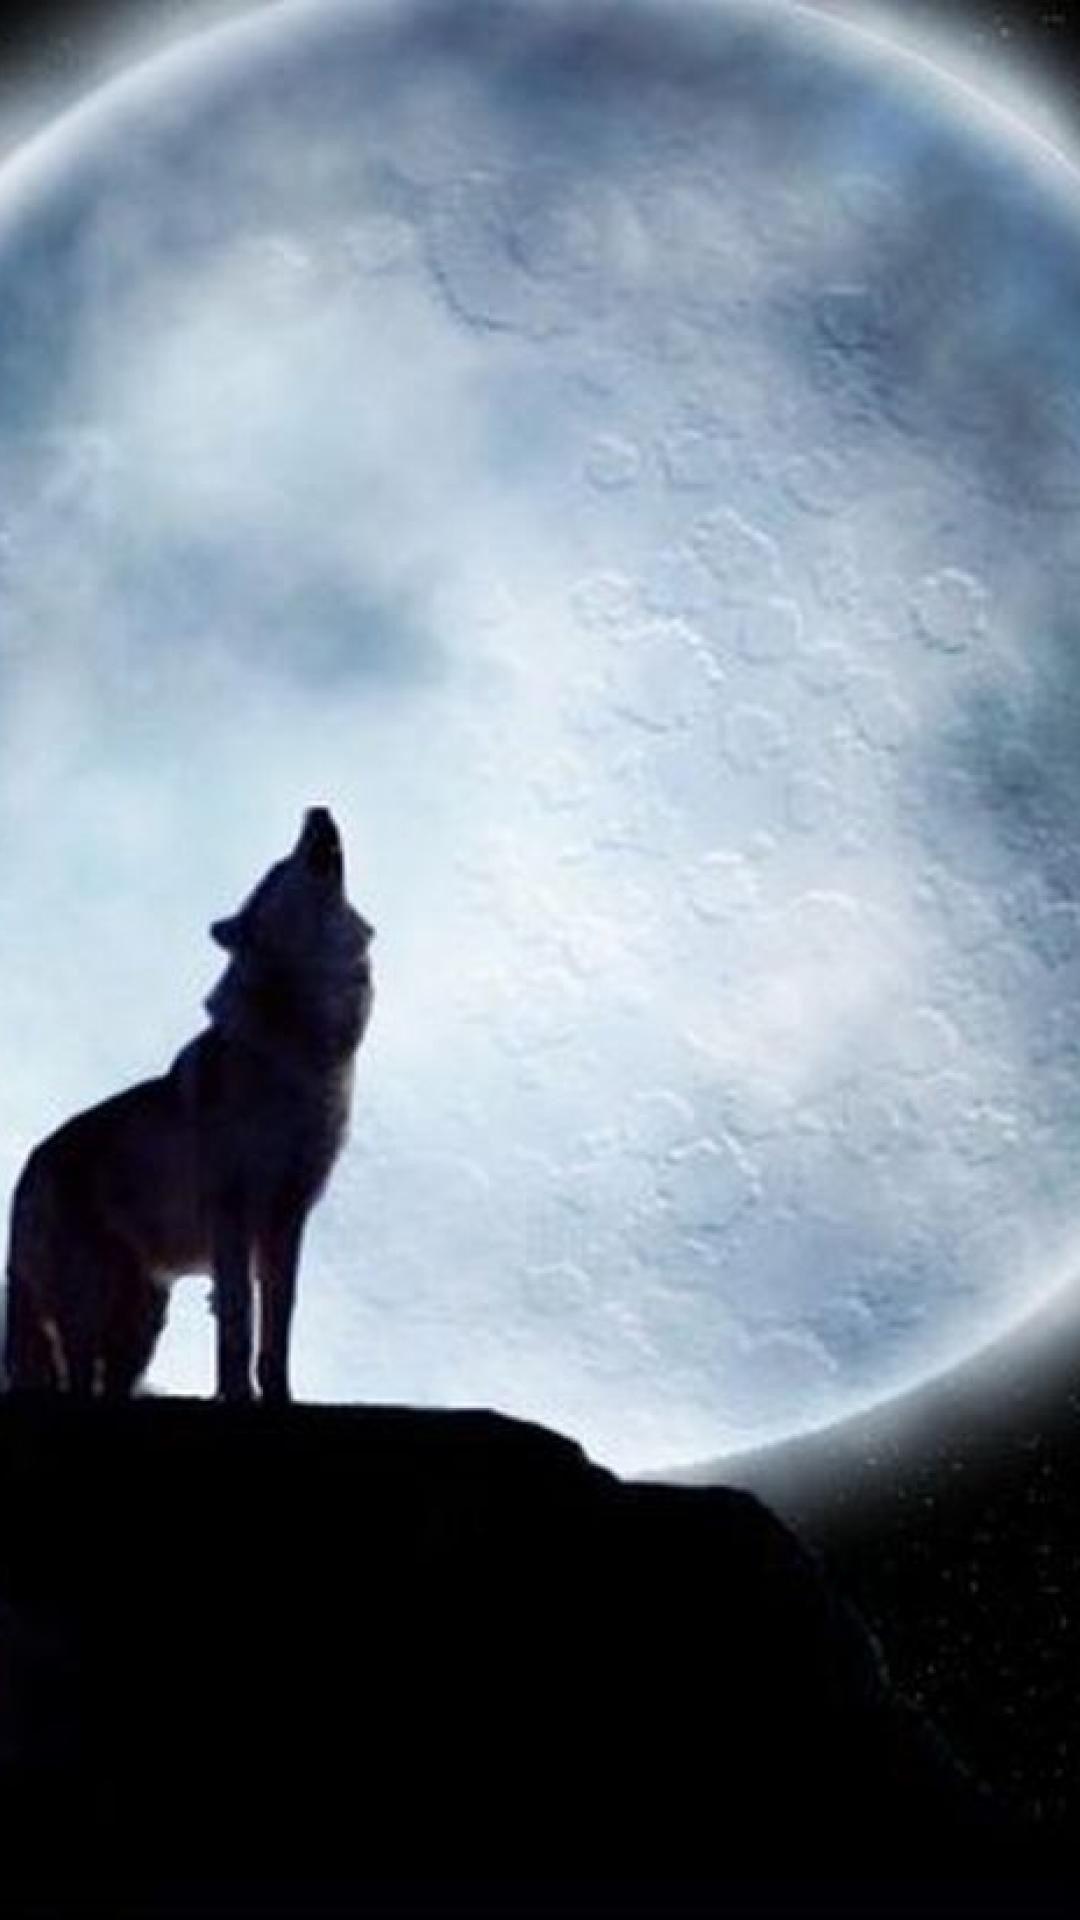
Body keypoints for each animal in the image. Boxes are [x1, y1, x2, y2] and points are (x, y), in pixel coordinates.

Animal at [3, 807, 374, 1402]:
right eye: (278, 868)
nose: (315, 810)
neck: (301, 1045)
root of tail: (26, 1172)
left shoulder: (287, 1218)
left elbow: (277, 1326)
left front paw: (278, 1396)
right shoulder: (231, 1211)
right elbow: (239, 1323)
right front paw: (238, 1395)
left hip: (142, 1321)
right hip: (88, 1303)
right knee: (77, 1375)